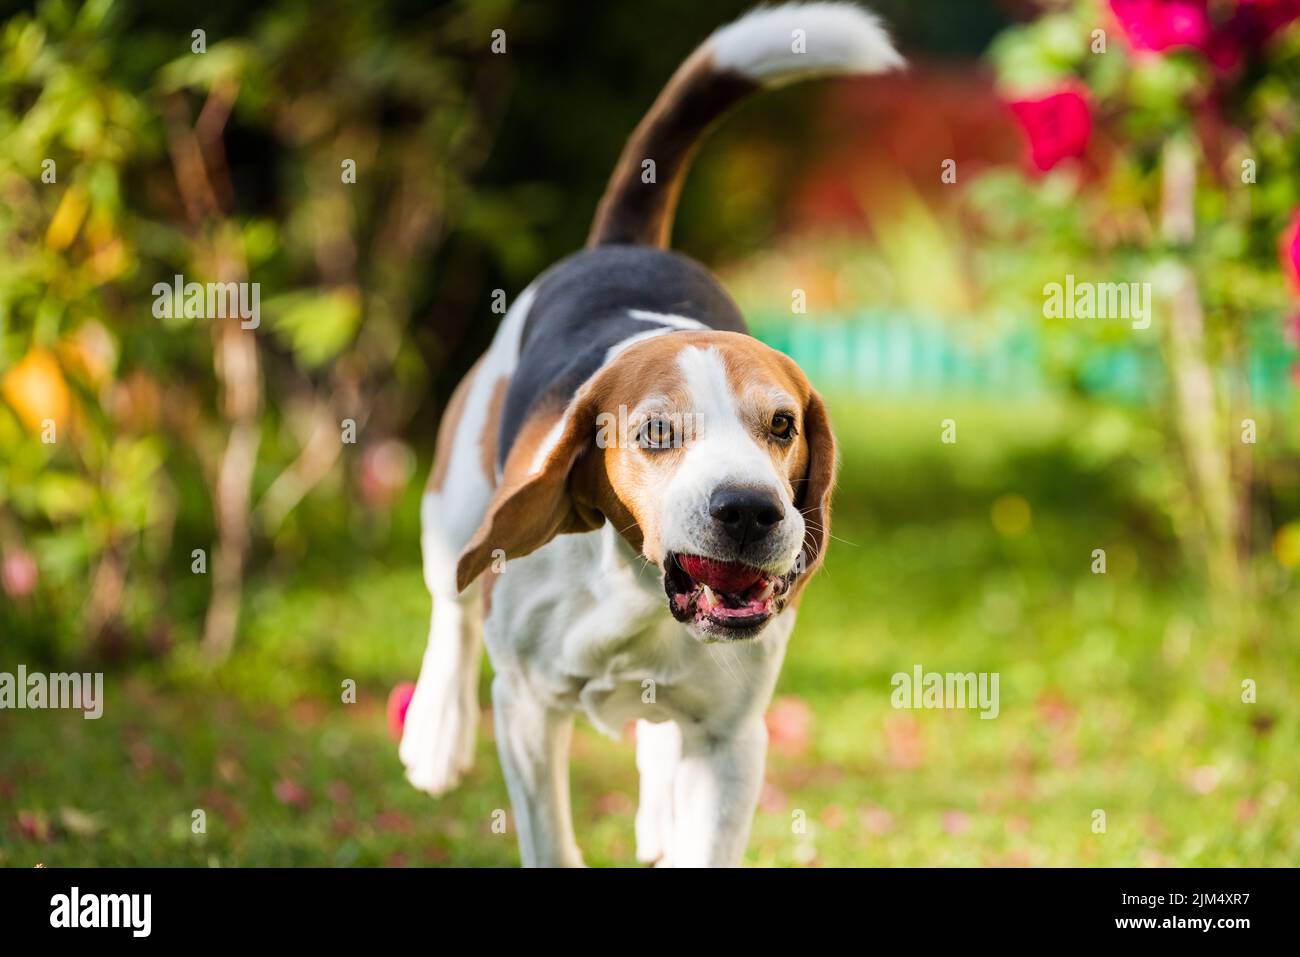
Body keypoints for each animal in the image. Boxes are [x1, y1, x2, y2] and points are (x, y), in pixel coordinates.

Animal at [400, 1, 899, 868]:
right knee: (448, 601)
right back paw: (436, 731)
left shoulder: (733, 740)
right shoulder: (526, 712)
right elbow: (550, 839)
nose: (749, 510)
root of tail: (624, 248)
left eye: (783, 424)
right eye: (658, 430)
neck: (636, 587)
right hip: (457, 498)